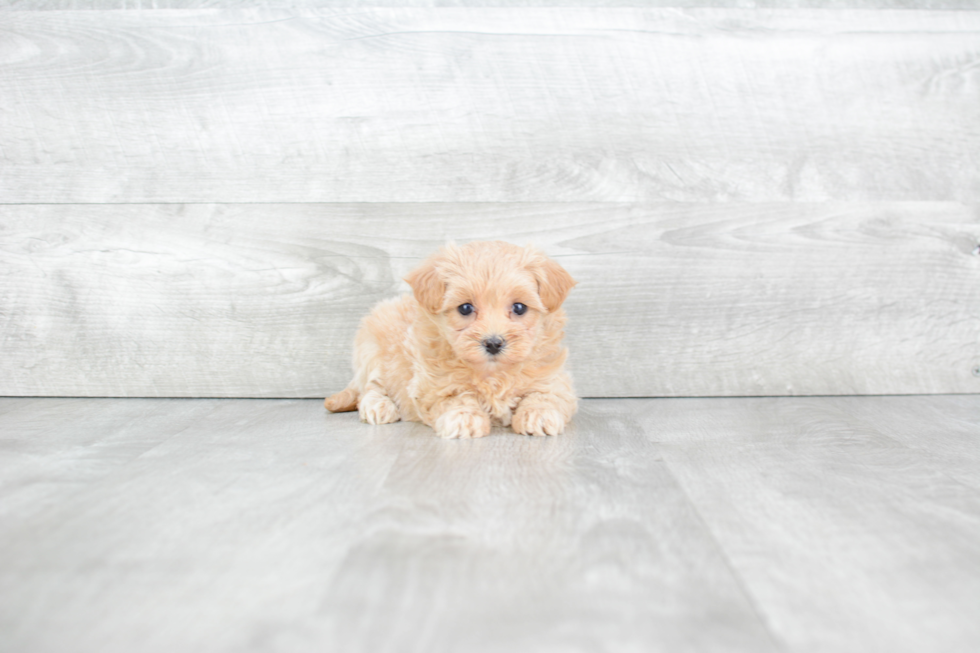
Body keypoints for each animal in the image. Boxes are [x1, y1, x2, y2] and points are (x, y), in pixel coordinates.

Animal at [326, 241, 580, 438]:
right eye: (465, 308)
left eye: (519, 308)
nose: (493, 343)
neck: (493, 374)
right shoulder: (432, 386)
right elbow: (456, 398)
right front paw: (464, 418)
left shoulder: (554, 379)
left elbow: (543, 395)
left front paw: (539, 414)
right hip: (373, 350)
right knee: (370, 388)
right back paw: (379, 406)